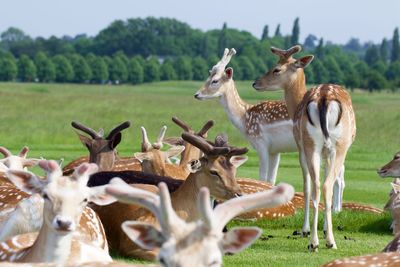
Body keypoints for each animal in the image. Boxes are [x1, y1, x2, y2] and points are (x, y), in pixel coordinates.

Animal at [253, 44, 356, 251]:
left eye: (276, 69)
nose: (255, 83)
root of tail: (323, 98)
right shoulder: (307, 149)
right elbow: (312, 185)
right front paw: (311, 229)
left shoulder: (306, 149)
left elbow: (310, 185)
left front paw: (314, 229)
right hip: (332, 146)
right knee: (321, 185)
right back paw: (325, 241)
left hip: (315, 145)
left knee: (317, 185)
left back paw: (316, 241)